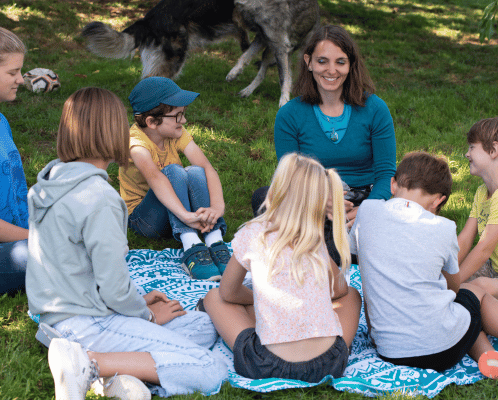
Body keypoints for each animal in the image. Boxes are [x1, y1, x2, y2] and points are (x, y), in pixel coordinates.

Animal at [80, 0, 318, 107]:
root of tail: (148, 18)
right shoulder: (273, 36)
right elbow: (284, 75)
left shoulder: (267, 35)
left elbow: (248, 54)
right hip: (173, 59)